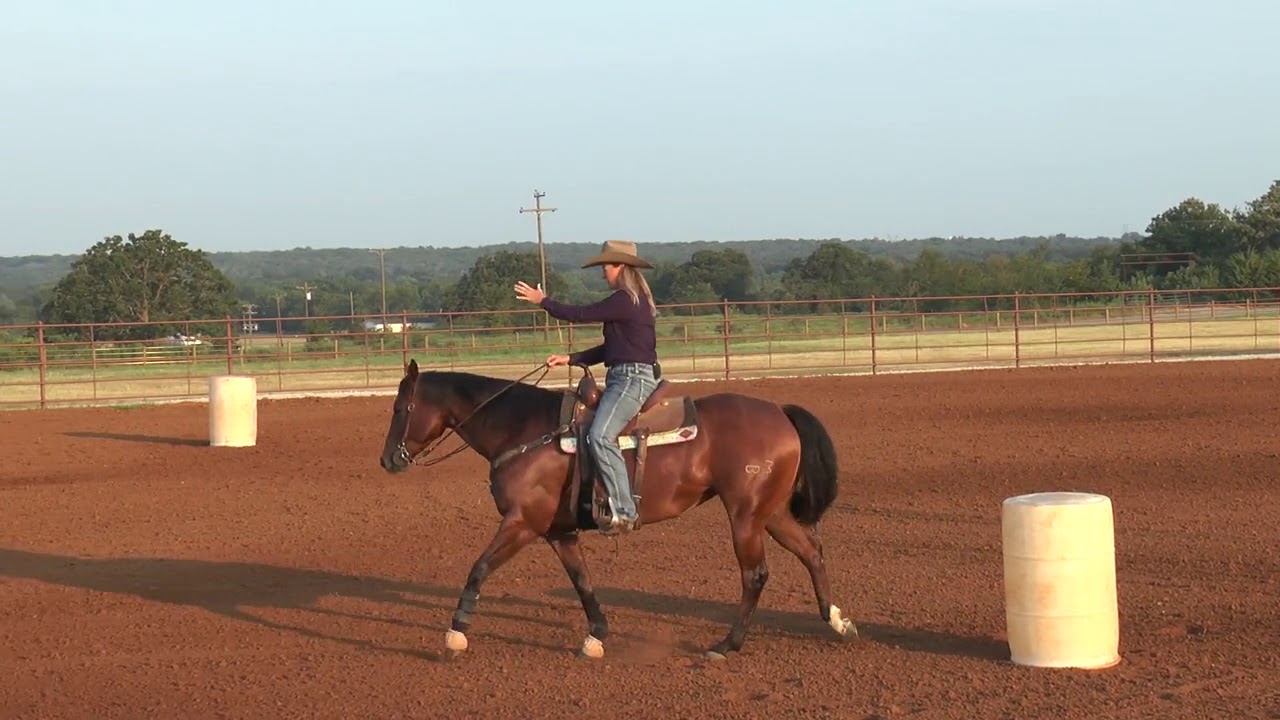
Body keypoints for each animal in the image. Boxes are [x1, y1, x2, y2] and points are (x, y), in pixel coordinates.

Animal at [378, 358, 857, 660]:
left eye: (401, 407)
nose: (387, 460)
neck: (525, 431)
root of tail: (779, 411)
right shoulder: (559, 532)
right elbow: (582, 582)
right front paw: (597, 637)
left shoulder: (521, 523)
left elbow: (479, 568)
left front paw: (455, 634)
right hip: (770, 513)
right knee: (811, 551)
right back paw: (837, 620)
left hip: (745, 515)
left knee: (755, 574)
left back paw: (726, 646)